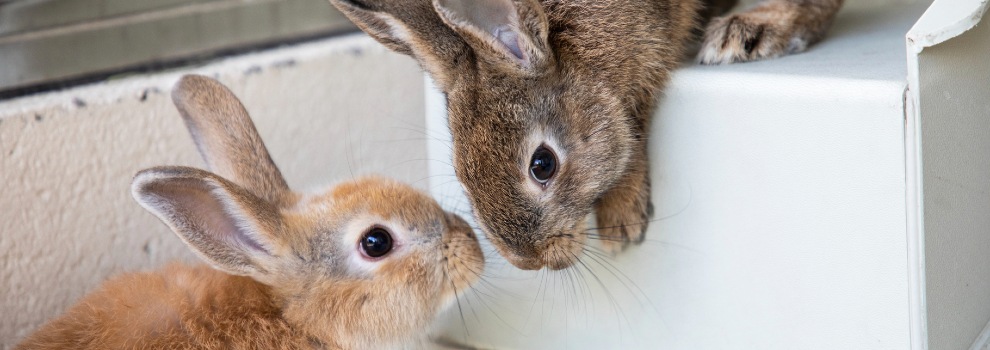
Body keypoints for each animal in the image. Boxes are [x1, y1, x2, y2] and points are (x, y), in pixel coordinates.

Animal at [328, 0, 844, 270]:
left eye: (543, 165)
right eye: (462, 172)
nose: (529, 261)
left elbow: (633, 127)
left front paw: (619, 222)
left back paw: (753, 28)